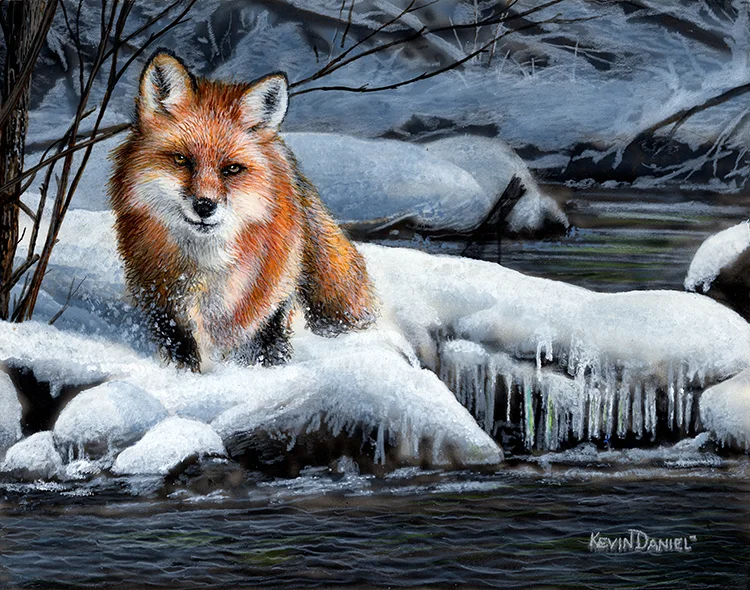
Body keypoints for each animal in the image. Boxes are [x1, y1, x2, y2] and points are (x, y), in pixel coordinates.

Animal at [109, 51, 377, 371]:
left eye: (232, 169)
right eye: (182, 160)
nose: (204, 205)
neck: (208, 268)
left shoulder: (273, 298)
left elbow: (269, 347)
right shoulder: (160, 301)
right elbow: (180, 349)